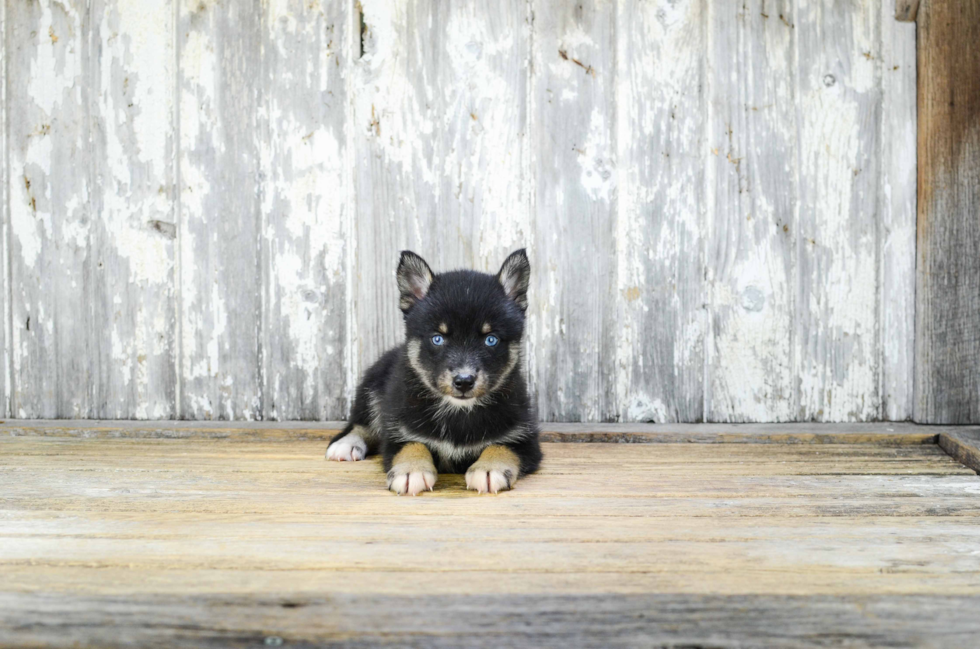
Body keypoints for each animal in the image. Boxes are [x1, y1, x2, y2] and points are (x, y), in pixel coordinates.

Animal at [330, 248, 544, 496]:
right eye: (437, 338)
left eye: (491, 339)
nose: (464, 381)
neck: (459, 412)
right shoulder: (397, 430)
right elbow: (412, 444)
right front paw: (411, 470)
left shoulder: (525, 439)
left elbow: (502, 446)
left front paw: (490, 468)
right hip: (371, 389)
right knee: (361, 424)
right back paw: (346, 444)